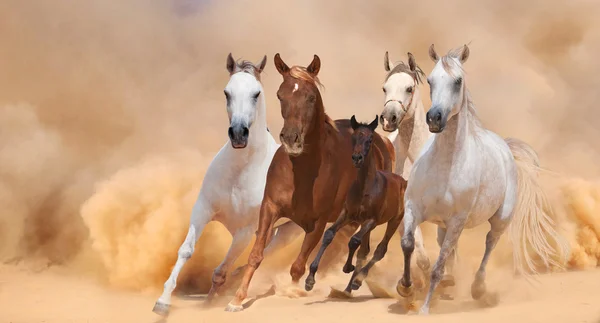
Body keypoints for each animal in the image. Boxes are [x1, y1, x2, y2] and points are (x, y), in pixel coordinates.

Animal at [152, 54, 302, 318]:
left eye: (256, 93)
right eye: (226, 92)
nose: (239, 134)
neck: (240, 172)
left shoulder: (244, 231)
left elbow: (222, 270)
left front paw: (216, 300)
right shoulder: (202, 210)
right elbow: (186, 250)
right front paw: (163, 301)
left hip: (293, 230)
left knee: (266, 253)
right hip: (278, 229)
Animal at [224, 54, 394, 312]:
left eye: (311, 97)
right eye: (280, 95)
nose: (291, 139)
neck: (302, 172)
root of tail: (384, 142)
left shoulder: (318, 222)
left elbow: (298, 265)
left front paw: (294, 291)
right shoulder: (270, 208)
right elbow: (256, 255)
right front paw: (237, 299)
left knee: (362, 248)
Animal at [304, 115, 408, 298]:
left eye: (370, 139)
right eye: (354, 137)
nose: (357, 158)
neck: (365, 187)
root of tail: (403, 181)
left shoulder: (371, 220)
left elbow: (354, 241)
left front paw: (348, 267)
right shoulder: (348, 214)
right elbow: (329, 234)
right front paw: (309, 280)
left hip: (394, 221)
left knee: (380, 249)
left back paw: (357, 281)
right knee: (364, 250)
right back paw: (348, 288)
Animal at [396, 44, 568, 316]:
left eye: (458, 81)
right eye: (430, 81)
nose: (434, 118)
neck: (444, 166)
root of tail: (505, 146)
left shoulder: (457, 221)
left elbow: (437, 267)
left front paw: (424, 308)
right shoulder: (414, 207)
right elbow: (408, 244)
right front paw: (405, 287)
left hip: (500, 220)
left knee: (489, 244)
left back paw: (478, 289)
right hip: (444, 224)